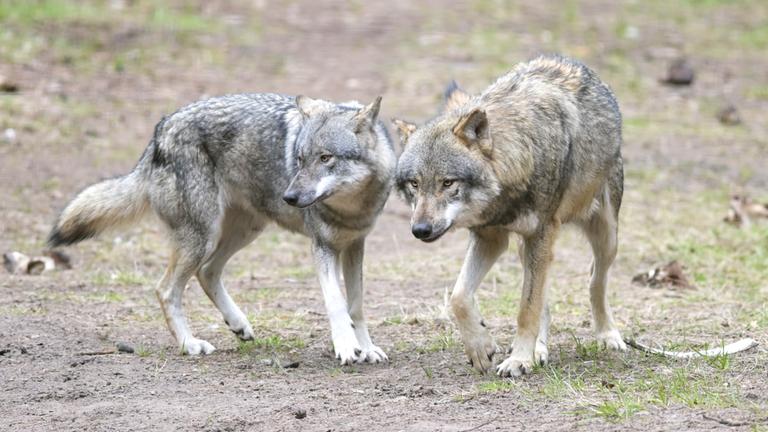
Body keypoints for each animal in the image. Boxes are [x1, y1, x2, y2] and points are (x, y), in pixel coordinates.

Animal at [48, 93, 395, 364]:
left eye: (325, 158)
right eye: (299, 159)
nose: (290, 197)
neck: (352, 207)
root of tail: (161, 129)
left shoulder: (355, 246)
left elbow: (356, 306)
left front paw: (366, 348)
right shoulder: (322, 248)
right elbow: (336, 303)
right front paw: (347, 348)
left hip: (244, 231)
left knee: (207, 272)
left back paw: (237, 324)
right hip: (203, 238)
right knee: (166, 289)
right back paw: (190, 345)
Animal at [394, 55, 626, 377]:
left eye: (448, 183)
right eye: (414, 184)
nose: (420, 230)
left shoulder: (540, 234)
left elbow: (527, 309)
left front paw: (518, 360)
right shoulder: (490, 237)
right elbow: (459, 297)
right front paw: (482, 348)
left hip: (605, 236)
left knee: (595, 281)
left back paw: (607, 335)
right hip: (525, 247)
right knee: (546, 299)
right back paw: (539, 349)